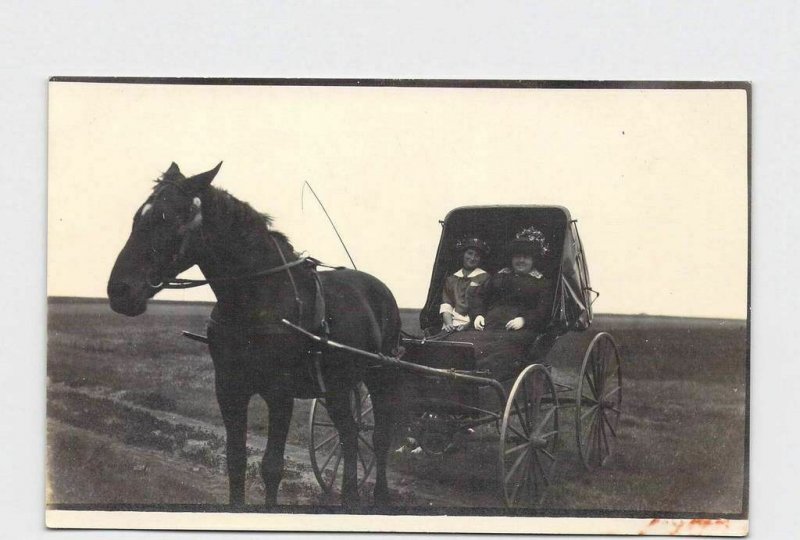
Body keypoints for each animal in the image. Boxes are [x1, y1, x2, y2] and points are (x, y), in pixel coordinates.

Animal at [108, 161, 400, 506]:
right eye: (138, 217)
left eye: (165, 218)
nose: (119, 291)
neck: (256, 297)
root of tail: (380, 288)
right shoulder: (229, 389)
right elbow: (235, 461)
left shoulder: (280, 393)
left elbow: (272, 467)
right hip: (337, 386)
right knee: (349, 434)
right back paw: (349, 497)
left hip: (380, 375)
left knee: (379, 436)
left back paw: (379, 496)